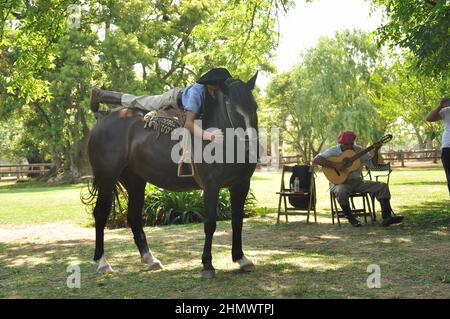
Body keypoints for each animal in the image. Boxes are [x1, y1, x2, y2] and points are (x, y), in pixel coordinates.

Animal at [85, 71, 258, 278]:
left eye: (254, 108)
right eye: (233, 110)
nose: (250, 148)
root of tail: (103, 118)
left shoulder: (241, 184)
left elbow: (238, 221)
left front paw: (241, 258)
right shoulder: (211, 185)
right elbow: (210, 224)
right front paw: (207, 264)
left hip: (135, 181)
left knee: (133, 216)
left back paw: (150, 259)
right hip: (107, 178)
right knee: (100, 213)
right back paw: (102, 262)